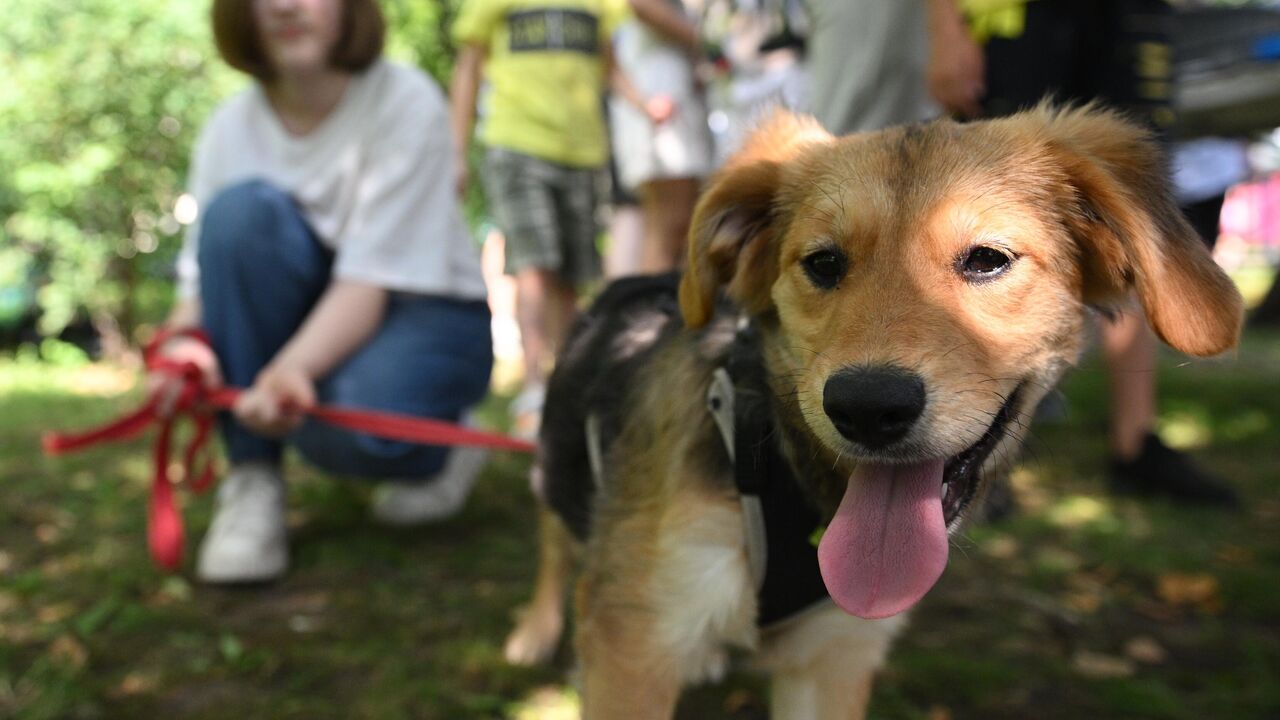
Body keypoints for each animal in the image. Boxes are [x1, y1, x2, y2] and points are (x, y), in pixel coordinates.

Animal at [499, 105, 1239, 717]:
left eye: (988, 260)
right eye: (823, 263)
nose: (867, 408)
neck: (784, 475)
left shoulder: (835, 658)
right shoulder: (636, 650)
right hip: (554, 465)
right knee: (553, 540)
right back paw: (533, 631)